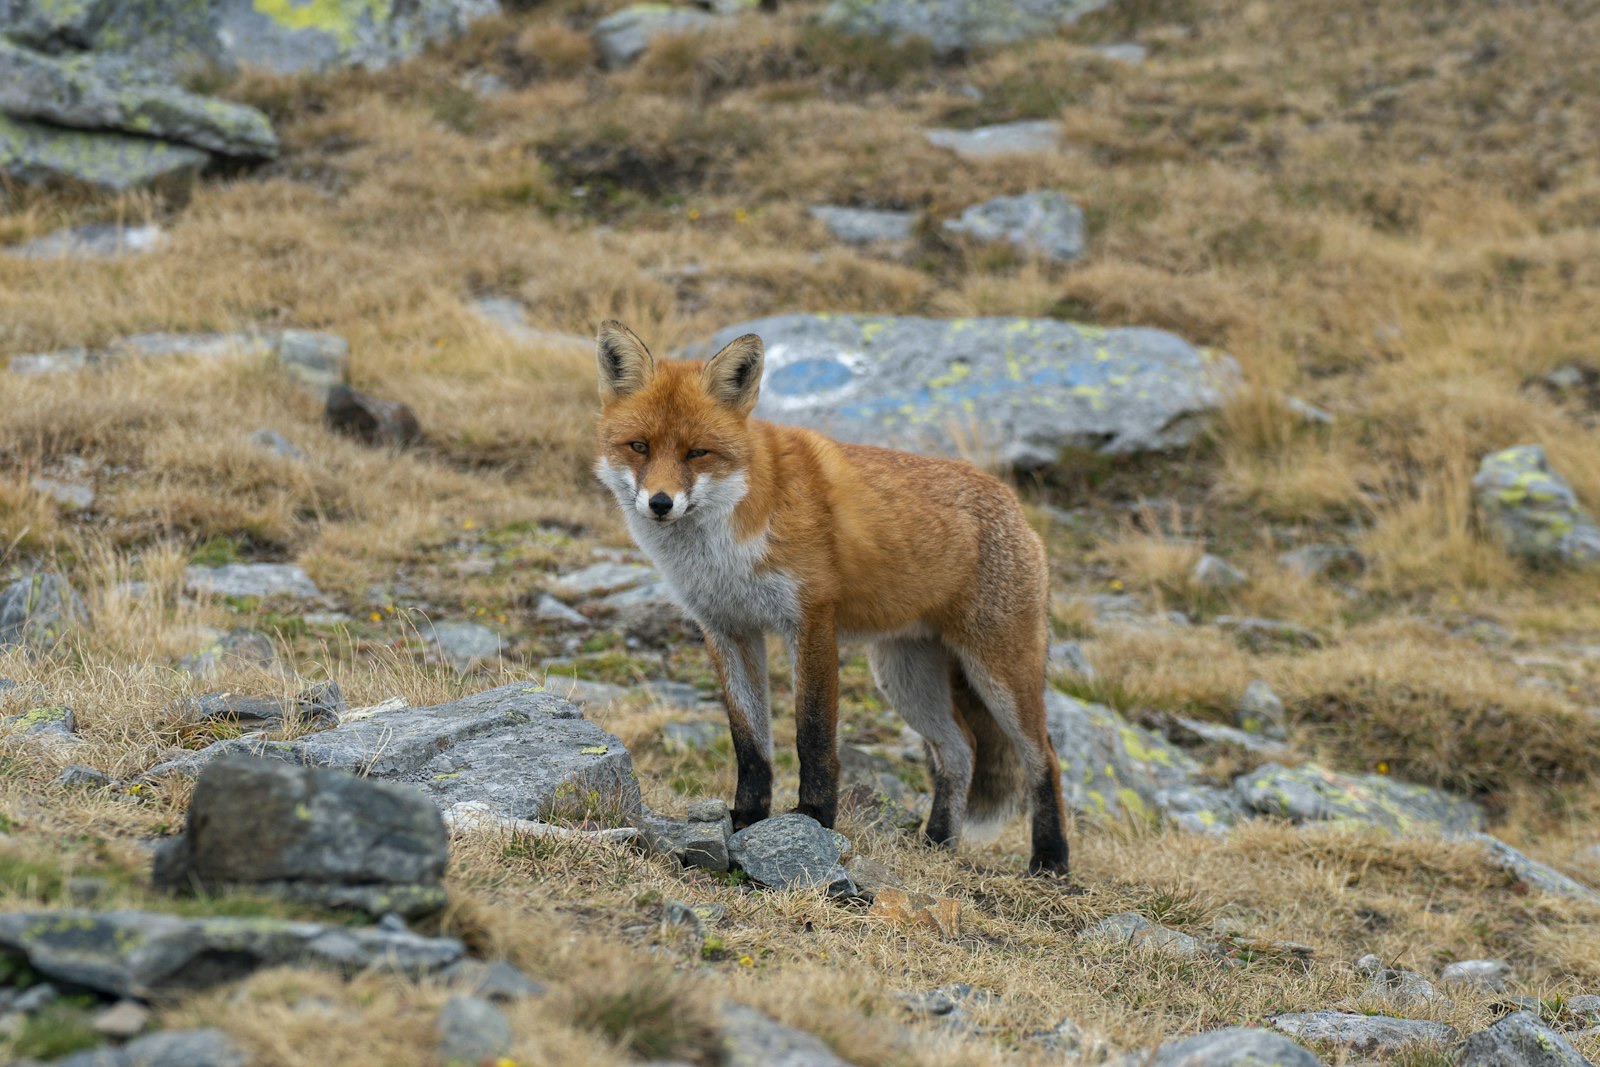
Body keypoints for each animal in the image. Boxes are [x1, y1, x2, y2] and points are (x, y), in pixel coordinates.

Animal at [592, 320, 1070, 876]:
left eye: (697, 453)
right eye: (639, 446)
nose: (661, 503)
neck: (724, 544)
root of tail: (1012, 501)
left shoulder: (811, 620)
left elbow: (813, 734)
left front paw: (814, 819)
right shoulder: (728, 629)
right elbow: (750, 742)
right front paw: (747, 818)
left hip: (999, 673)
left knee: (1044, 759)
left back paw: (1051, 861)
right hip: (905, 678)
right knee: (960, 750)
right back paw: (937, 844)